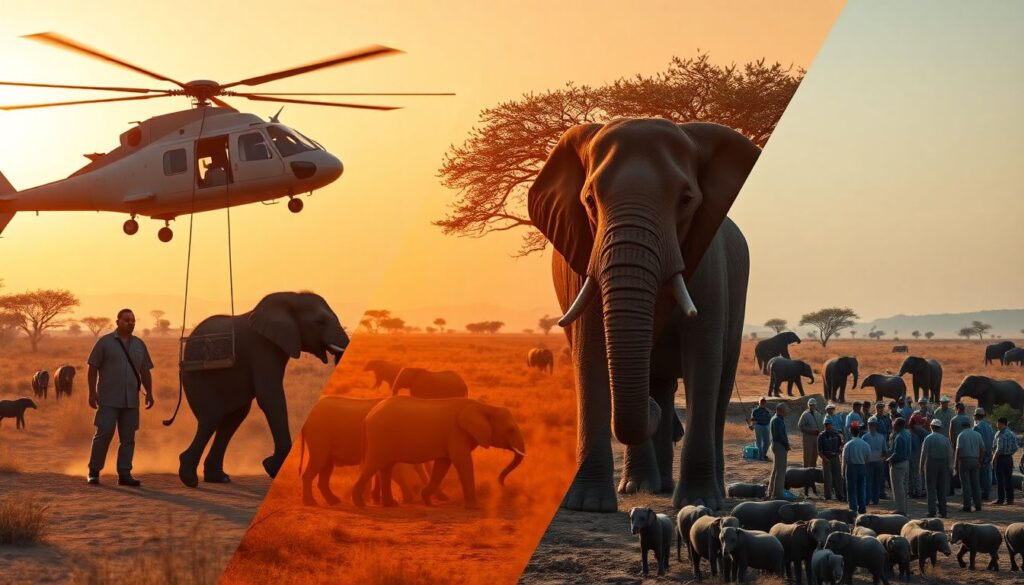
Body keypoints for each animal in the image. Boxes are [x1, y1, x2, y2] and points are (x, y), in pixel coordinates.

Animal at [166, 292, 349, 488]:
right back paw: (190, 478)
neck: (291, 296)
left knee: (232, 419)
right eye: (320, 322)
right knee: (211, 418)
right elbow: (270, 395)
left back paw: (219, 478)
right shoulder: (262, 346)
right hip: (196, 376)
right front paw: (273, 468)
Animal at [352, 397, 525, 508]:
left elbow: (443, 464)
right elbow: (462, 462)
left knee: (386, 467)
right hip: (380, 436)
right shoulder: (457, 432)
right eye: (510, 430)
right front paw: (475, 507)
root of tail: (368, 416)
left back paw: (391, 505)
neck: (484, 407)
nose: (502, 484)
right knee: (373, 465)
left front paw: (427, 500)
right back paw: (360, 504)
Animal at [527, 118, 759, 511]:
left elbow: (703, 358)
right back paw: (643, 486)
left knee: (720, 387)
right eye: (589, 201)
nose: (651, 409)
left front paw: (699, 502)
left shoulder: (710, 265)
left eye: (686, 200)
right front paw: (589, 504)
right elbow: (590, 356)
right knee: (661, 383)